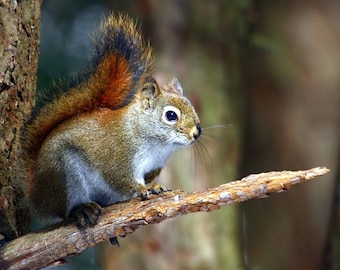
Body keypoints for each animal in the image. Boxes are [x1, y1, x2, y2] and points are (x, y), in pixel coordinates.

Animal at [21, 13, 201, 228]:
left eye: (192, 106)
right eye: (171, 115)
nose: (197, 132)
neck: (157, 144)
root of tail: (35, 194)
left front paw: (153, 183)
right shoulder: (118, 157)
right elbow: (121, 179)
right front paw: (143, 188)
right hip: (64, 175)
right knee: (64, 210)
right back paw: (81, 209)